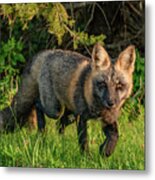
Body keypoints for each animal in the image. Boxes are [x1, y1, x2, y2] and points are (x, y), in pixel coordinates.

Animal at [0, 43, 136, 156]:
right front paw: (87, 159)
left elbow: (115, 135)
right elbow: (84, 142)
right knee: (39, 105)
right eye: (102, 84)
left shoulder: (108, 119)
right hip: (55, 110)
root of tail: (46, 53)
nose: (111, 103)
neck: (96, 108)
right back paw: (41, 131)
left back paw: (60, 141)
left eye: (119, 86)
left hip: (70, 114)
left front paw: (105, 150)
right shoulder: (82, 118)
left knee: (59, 123)